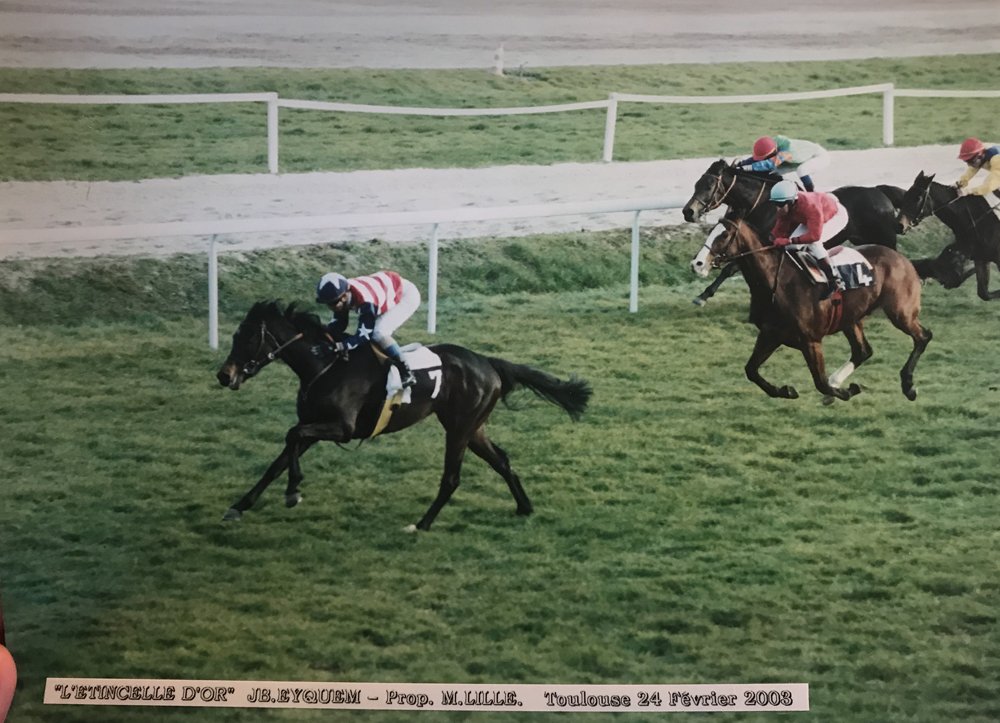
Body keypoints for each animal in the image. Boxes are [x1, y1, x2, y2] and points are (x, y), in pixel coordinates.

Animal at [215, 301, 592, 531]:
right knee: (501, 460)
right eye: (234, 335)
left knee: (452, 478)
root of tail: (488, 362)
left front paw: (293, 491)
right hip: (473, 428)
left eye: (247, 338)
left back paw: (422, 524)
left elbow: (292, 436)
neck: (326, 365)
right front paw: (240, 505)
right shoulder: (316, 425)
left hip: (458, 429)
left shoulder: (342, 428)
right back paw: (524, 506)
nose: (224, 375)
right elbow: (280, 458)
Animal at [684, 160, 904, 306]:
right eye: (695, 184)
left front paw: (703, 295)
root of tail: (880, 192)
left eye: (709, 185)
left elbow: (729, 268)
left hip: (884, 239)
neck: (764, 205)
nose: (688, 211)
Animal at [692, 219, 932, 402]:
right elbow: (751, 370)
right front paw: (785, 391)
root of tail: (903, 258)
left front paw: (846, 391)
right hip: (851, 319)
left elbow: (820, 383)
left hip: (900, 312)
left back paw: (908, 385)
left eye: (724, 235)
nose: (697, 264)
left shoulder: (811, 340)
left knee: (923, 336)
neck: (777, 284)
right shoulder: (770, 334)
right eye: (711, 231)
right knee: (863, 351)